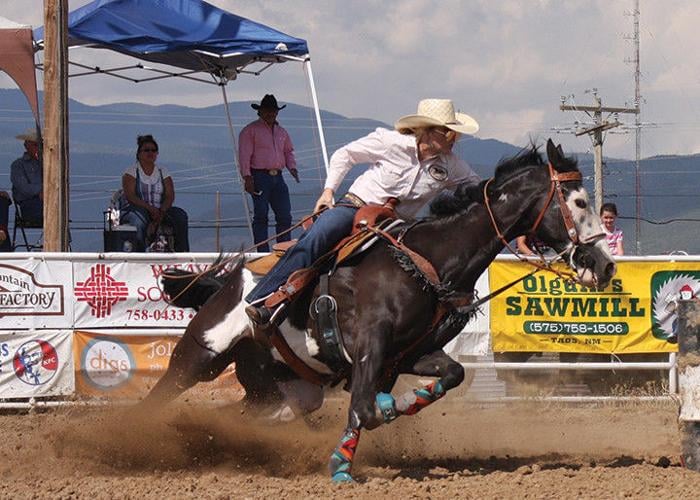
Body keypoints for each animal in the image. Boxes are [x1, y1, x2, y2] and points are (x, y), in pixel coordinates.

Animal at [145, 140, 616, 480]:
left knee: (243, 414)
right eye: (577, 202)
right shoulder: (369, 348)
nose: (606, 265)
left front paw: (393, 410)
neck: (426, 262)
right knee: (156, 399)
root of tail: (228, 282)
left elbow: (448, 376)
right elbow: (364, 408)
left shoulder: (406, 356)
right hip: (200, 356)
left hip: (286, 391)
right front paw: (347, 459)